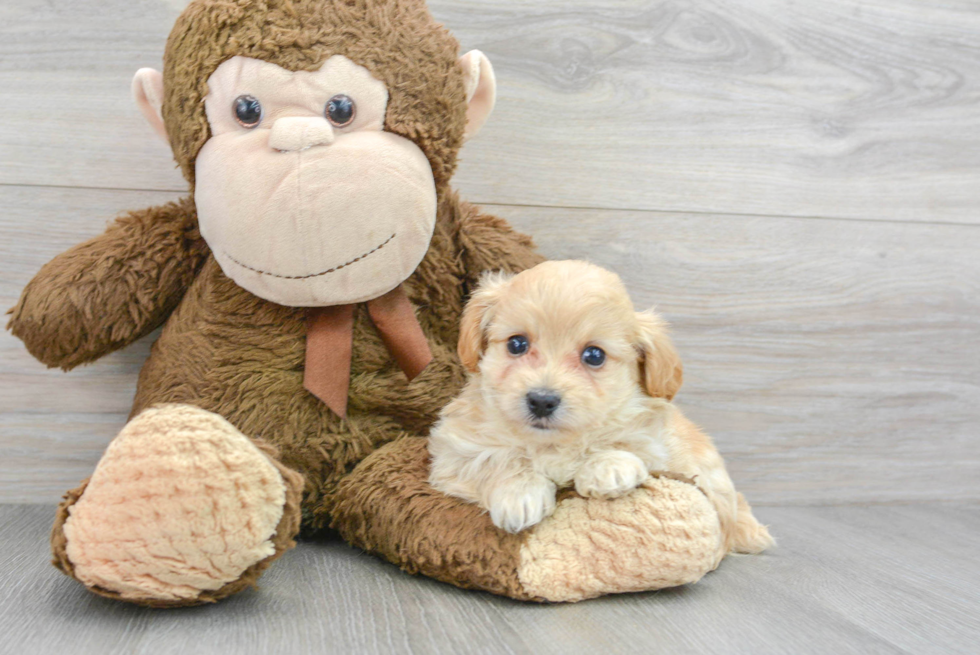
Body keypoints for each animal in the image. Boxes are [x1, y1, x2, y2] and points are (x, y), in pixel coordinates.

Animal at [428, 262, 772, 560]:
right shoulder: (454, 450)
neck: (554, 444)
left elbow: (631, 442)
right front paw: (519, 494)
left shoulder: (659, 445)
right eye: (516, 344)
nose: (541, 400)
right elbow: (496, 459)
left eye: (594, 356)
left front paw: (608, 468)